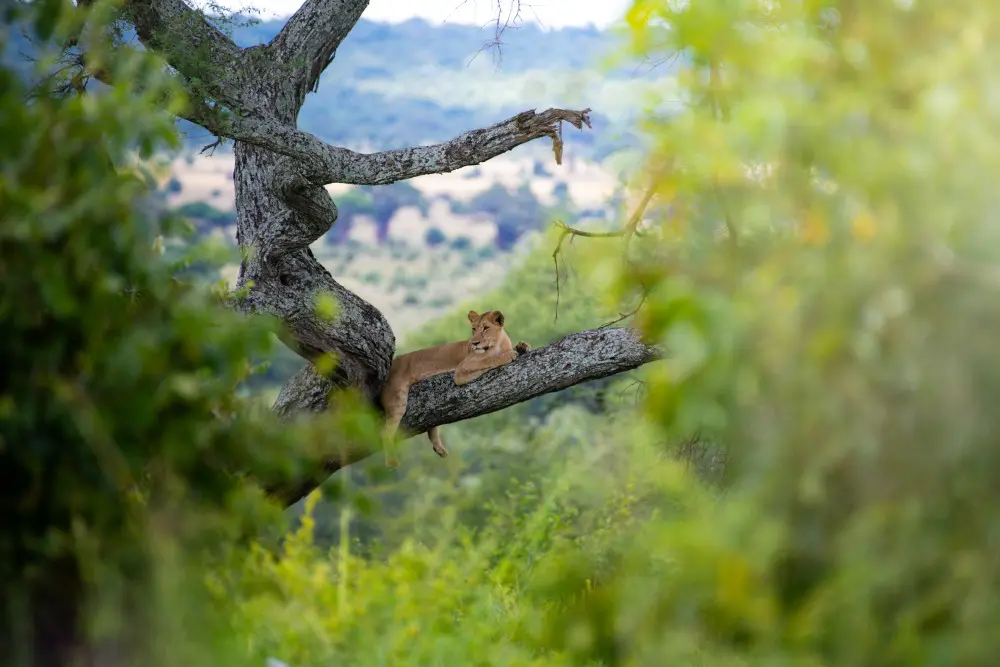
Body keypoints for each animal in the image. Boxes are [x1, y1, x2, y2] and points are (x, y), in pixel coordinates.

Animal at [379, 309, 531, 467]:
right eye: (474, 329)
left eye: (486, 328)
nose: (474, 343)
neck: (499, 344)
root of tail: (390, 366)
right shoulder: (461, 370)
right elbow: (489, 360)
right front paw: (509, 355)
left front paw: (522, 346)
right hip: (397, 398)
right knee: (385, 433)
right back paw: (392, 462)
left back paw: (439, 449)